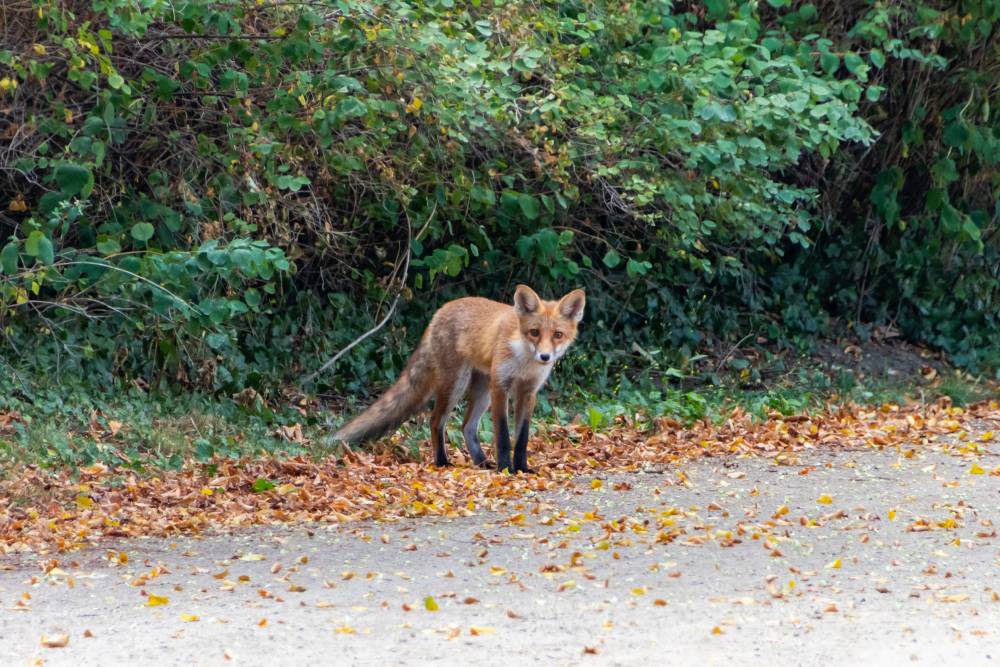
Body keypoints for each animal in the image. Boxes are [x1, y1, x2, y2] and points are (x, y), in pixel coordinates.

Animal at [334, 284, 584, 472]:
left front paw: (521, 468)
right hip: (457, 384)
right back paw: (442, 461)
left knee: (467, 426)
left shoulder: (528, 392)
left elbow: (521, 438)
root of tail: (440, 311)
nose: (545, 356)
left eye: (558, 335)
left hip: (482, 392)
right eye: (534, 333)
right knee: (436, 420)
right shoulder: (500, 386)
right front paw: (505, 468)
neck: (523, 360)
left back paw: (481, 462)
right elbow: (503, 436)